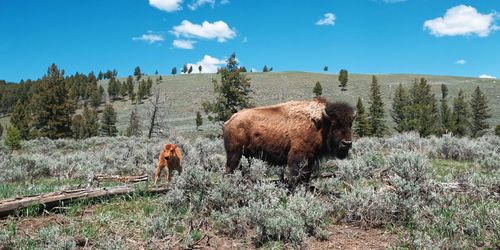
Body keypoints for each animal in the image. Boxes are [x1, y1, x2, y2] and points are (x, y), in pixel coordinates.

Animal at [223, 96, 356, 187]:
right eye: (334, 125)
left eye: (350, 124)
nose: (347, 143)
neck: (320, 124)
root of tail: (230, 120)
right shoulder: (297, 156)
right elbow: (295, 175)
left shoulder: (311, 158)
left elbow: (306, 176)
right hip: (234, 154)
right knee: (229, 169)